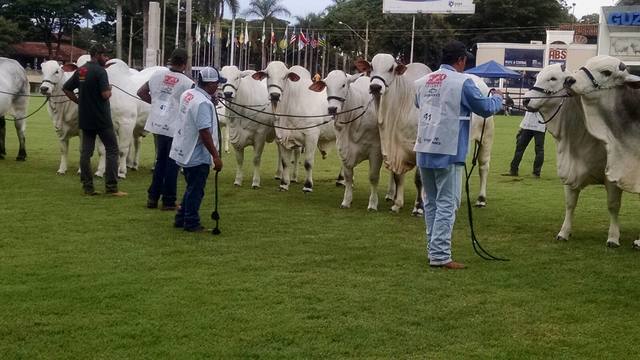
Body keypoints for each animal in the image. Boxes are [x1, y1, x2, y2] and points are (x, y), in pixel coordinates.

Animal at [251, 62, 336, 193]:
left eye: (285, 76)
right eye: (267, 75)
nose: (275, 95)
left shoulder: (311, 135)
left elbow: (308, 163)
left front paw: (308, 185)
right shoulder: (283, 136)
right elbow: (285, 162)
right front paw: (284, 184)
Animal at [308, 70, 382, 210]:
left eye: (343, 85)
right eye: (326, 85)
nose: (332, 109)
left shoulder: (375, 151)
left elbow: (373, 177)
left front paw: (373, 204)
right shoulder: (343, 149)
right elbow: (348, 177)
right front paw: (346, 201)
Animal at [356, 55, 430, 214]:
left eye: (391, 68)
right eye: (371, 67)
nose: (375, 87)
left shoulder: (419, 149)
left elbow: (419, 179)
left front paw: (419, 207)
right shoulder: (396, 150)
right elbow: (398, 177)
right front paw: (397, 204)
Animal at [524, 62, 624, 248]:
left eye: (553, 78)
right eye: (537, 76)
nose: (526, 99)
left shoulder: (613, 177)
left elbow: (613, 206)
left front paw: (613, 237)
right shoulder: (569, 172)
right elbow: (570, 204)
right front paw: (564, 232)